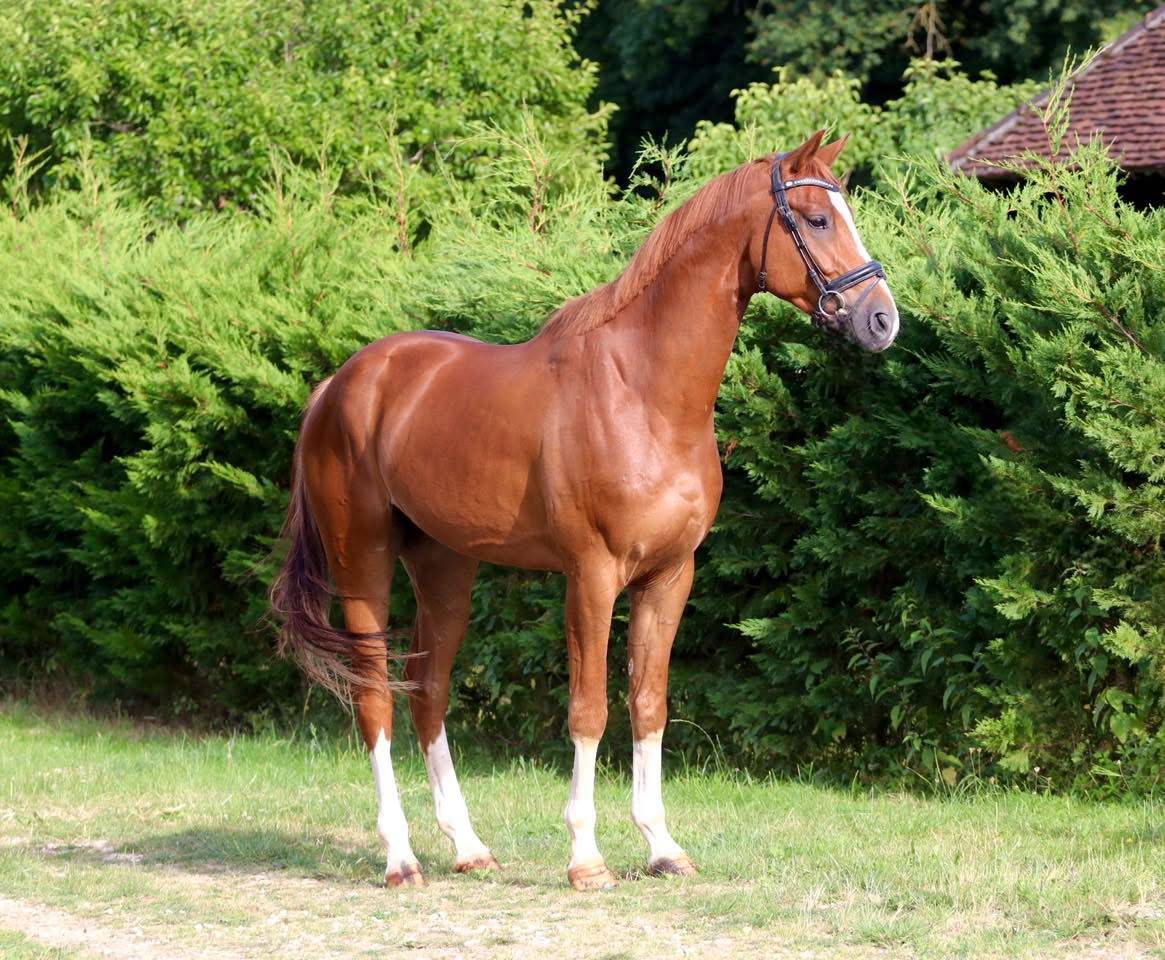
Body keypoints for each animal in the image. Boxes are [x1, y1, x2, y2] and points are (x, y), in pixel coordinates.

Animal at [270, 130, 899, 891]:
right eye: (815, 219)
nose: (881, 319)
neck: (644, 392)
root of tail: (340, 383)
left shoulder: (669, 577)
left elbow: (649, 704)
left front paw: (662, 846)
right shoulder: (592, 577)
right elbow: (589, 708)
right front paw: (586, 858)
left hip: (446, 568)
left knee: (428, 691)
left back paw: (468, 847)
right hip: (360, 560)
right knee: (374, 698)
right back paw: (400, 859)